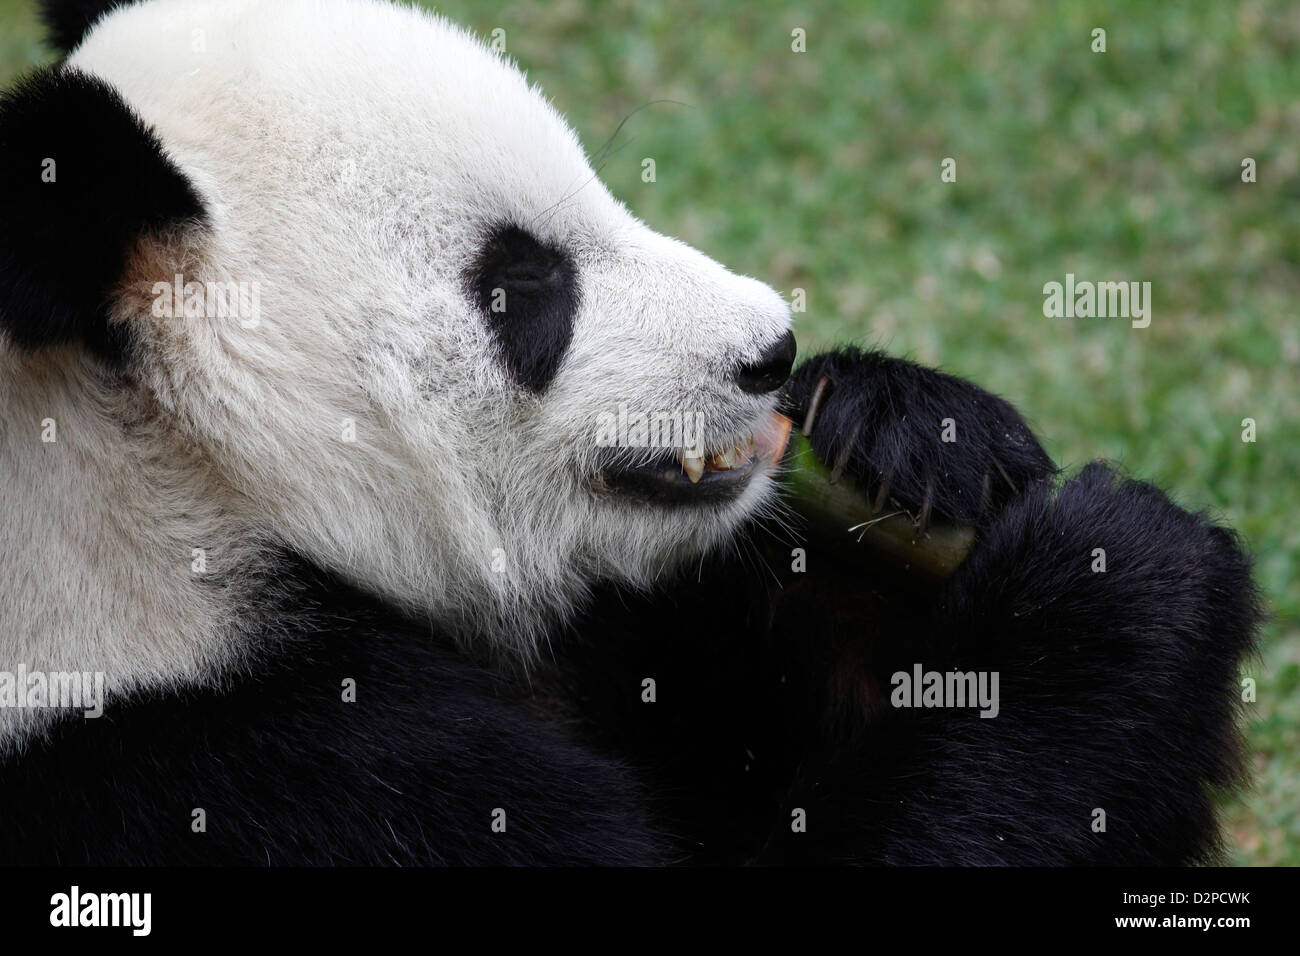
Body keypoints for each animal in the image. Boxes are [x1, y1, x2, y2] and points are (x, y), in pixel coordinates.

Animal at [0, 0, 1258, 868]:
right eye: (521, 289)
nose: (770, 352)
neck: (172, 477)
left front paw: (918, 430)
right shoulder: (225, 767)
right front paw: (1115, 578)